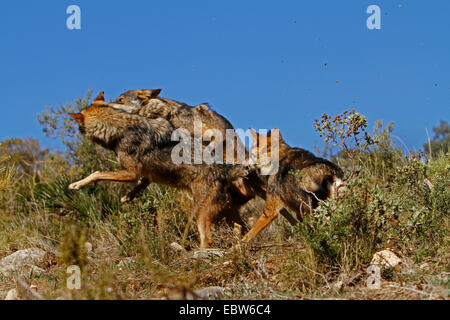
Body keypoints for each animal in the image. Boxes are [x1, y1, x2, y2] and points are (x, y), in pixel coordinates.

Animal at [67, 92, 256, 248]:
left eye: (120, 99)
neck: (119, 127)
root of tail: (225, 171)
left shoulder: (131, 173)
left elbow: (96, 173)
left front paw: (76, 185)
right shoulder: (145, 174)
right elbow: (141, 182)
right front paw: (128, 196)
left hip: (200, 214)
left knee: (208, 240)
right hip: (224, 213)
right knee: (241, 227)